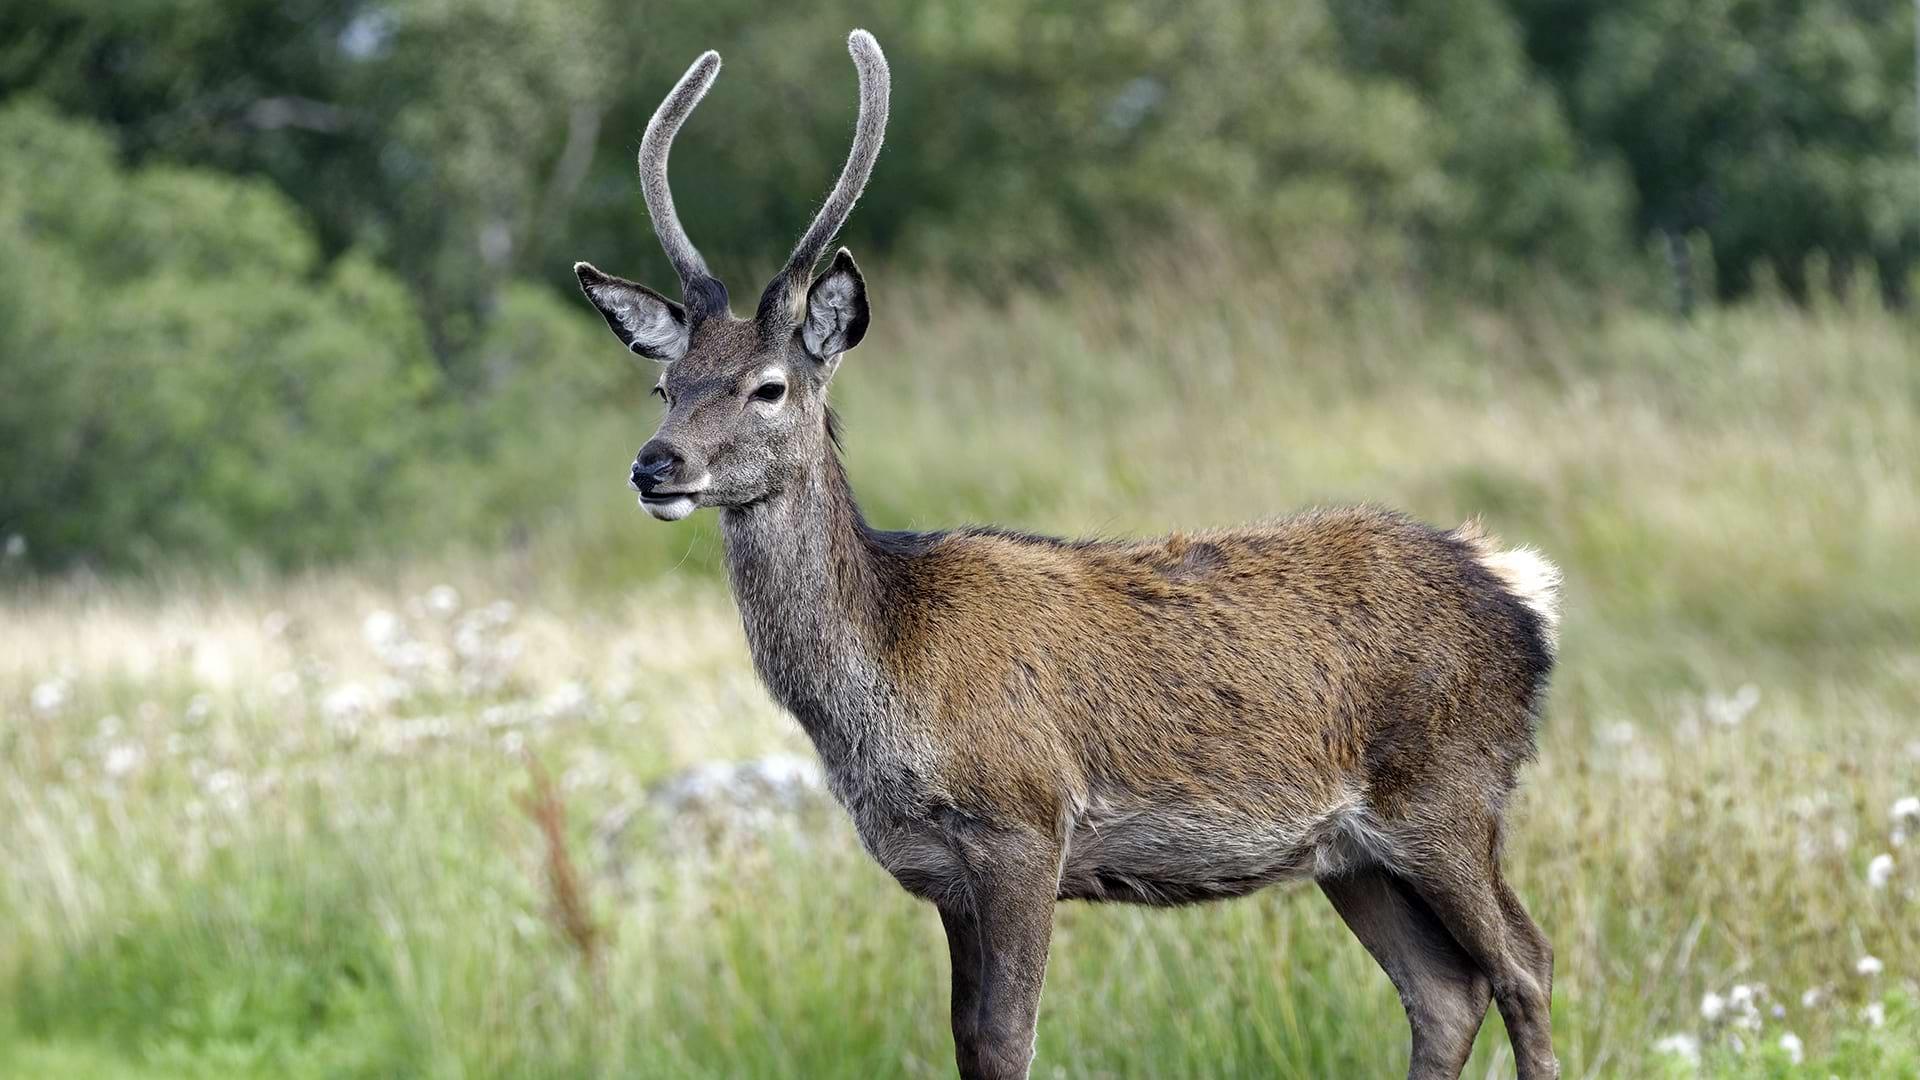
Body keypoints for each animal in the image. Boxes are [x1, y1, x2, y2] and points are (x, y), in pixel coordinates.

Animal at [573, 30, 1563, 1080]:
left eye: (768, 387)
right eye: (665, 386)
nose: (655, 465)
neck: (886, 675)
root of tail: (1518, 587)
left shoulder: (1024, 823)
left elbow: (1010, 1039)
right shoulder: (941, 873)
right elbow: (970, 1042)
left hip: (1450, 792)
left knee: (1525, 962)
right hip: (1352, 853)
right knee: (1444, 990)